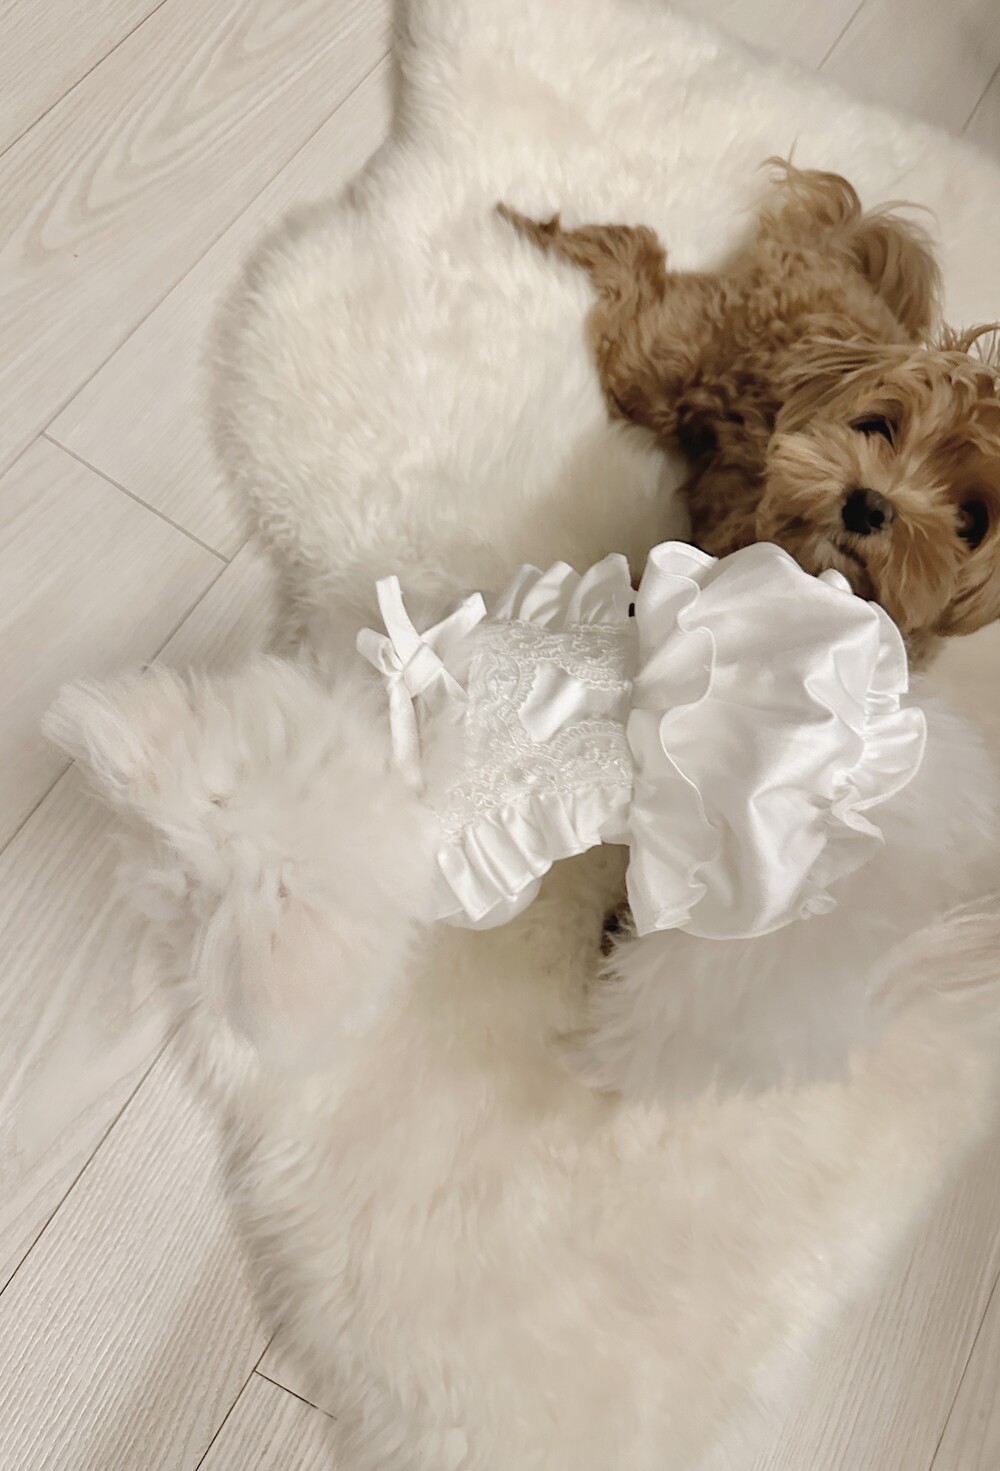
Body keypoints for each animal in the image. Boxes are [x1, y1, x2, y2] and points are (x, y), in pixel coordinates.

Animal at [499, 164, 1000, 665]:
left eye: (972, 521)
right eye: (876, 427)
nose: (868, 505)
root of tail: (834, 247)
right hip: (659, 360)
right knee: (636, 254)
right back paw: (529, 226)